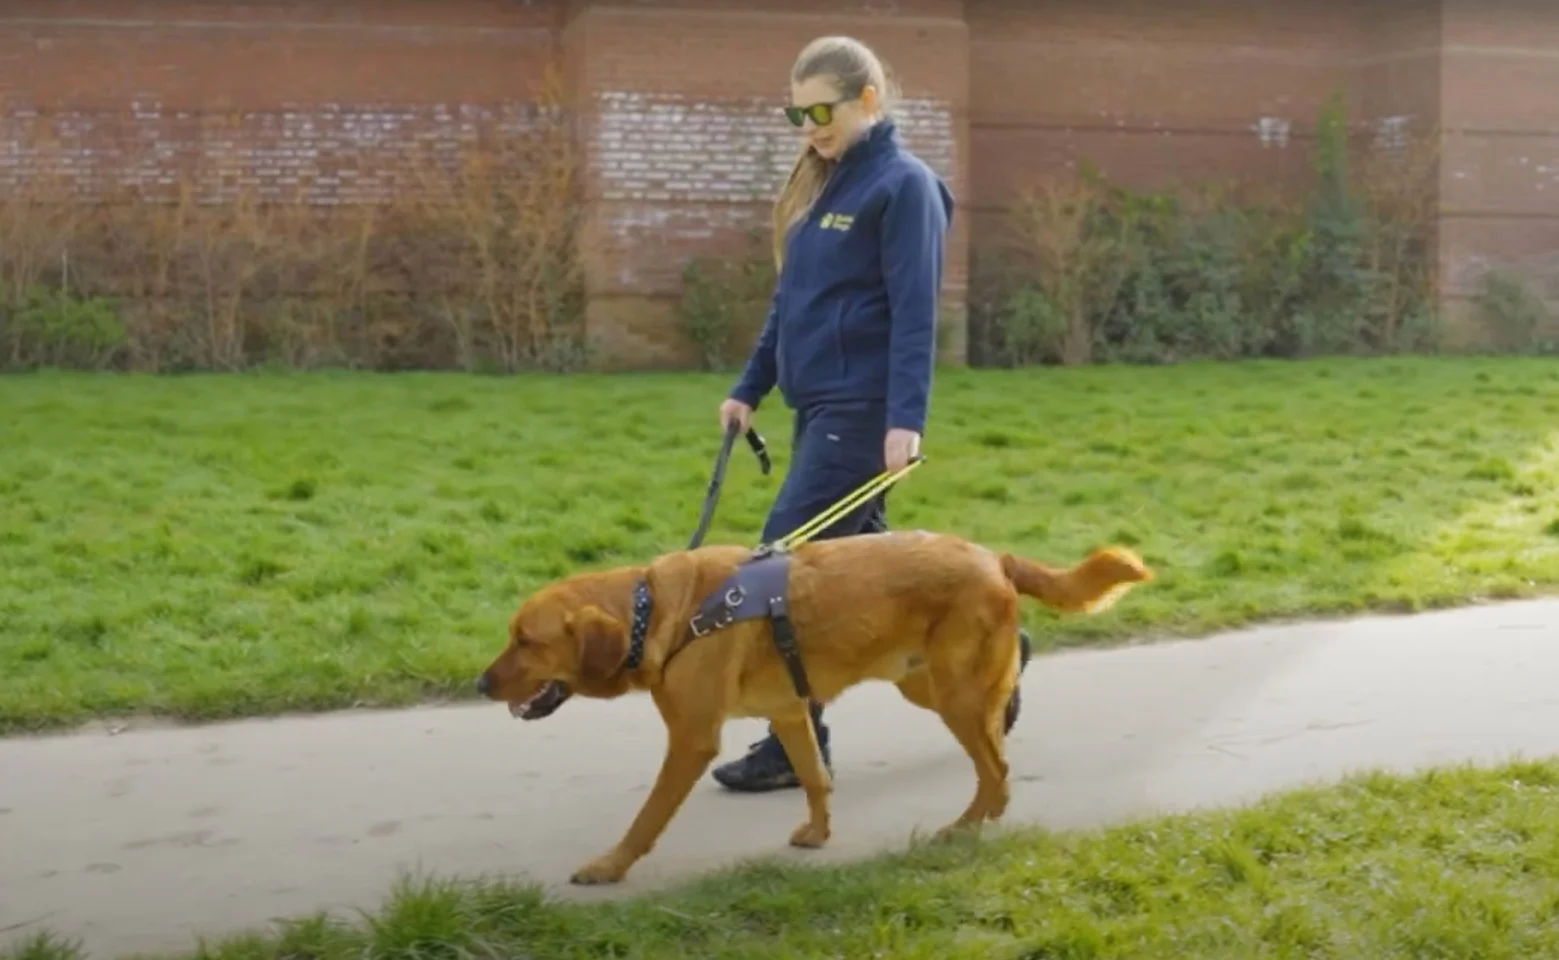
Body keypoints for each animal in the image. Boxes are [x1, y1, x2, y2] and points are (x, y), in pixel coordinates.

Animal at [470, 532, 1147, 885]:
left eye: (526, 640)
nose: (478, 683)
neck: (656, 610)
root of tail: (995, 556)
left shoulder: (690, 739)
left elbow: (646, 818)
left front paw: (610, 866)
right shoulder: (790, 714)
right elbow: (817, 778)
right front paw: (819, 834)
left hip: (951, 691)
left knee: (996, 769)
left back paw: (966, 827)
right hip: (922, 683)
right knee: (996, 741)